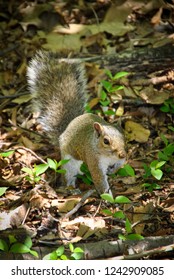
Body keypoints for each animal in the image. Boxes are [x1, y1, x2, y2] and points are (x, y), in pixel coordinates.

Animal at [26, 50, 125, 195]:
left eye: (123, 137)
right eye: (106, 141)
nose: (122, 153)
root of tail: (66, 128)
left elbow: (121, 163)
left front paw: (114, 169)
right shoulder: (93, 158)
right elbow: (99, 180)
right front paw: (109, 198)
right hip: (69, 163)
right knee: (68, 176)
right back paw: (72, 189)